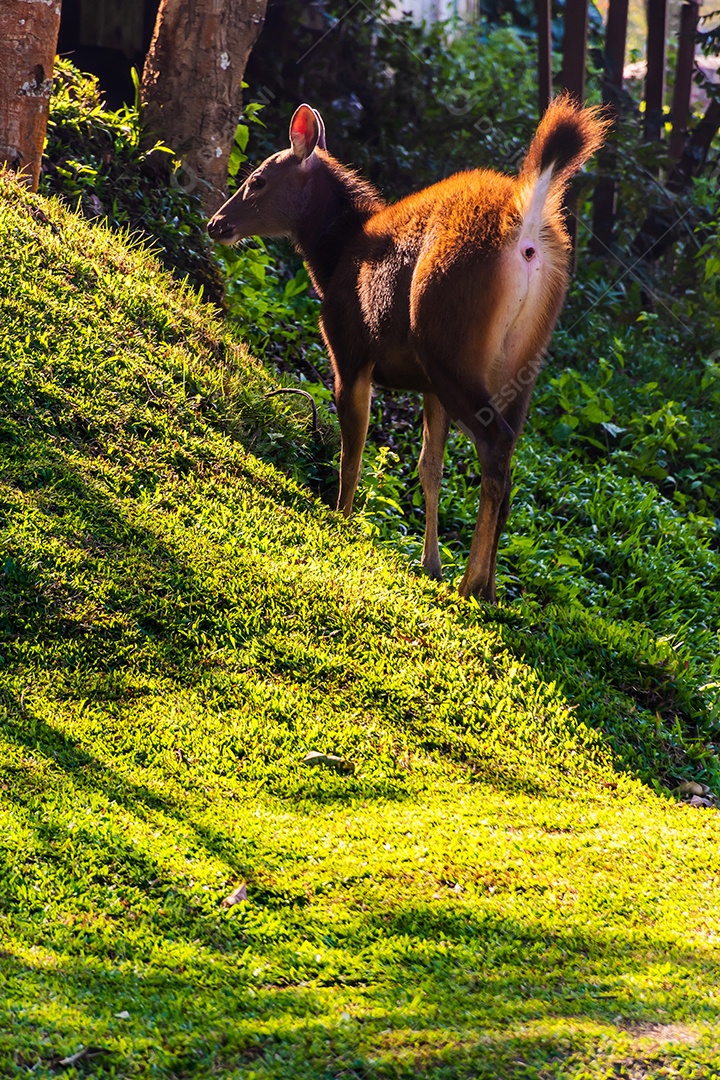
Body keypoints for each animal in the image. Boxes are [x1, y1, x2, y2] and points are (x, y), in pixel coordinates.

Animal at [208, 96, 608, 601]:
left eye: (257, 179)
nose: (216, 223)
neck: (332, 258)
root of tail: (528, 229)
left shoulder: (349, 350)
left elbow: (353, 449)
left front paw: (341, 519)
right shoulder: (428, 388)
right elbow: (428, 468)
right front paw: (429, 563)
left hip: (447, 341)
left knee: (495, 445)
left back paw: (472, 583)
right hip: (520, 364)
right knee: (509, 459)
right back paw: (489, 585)